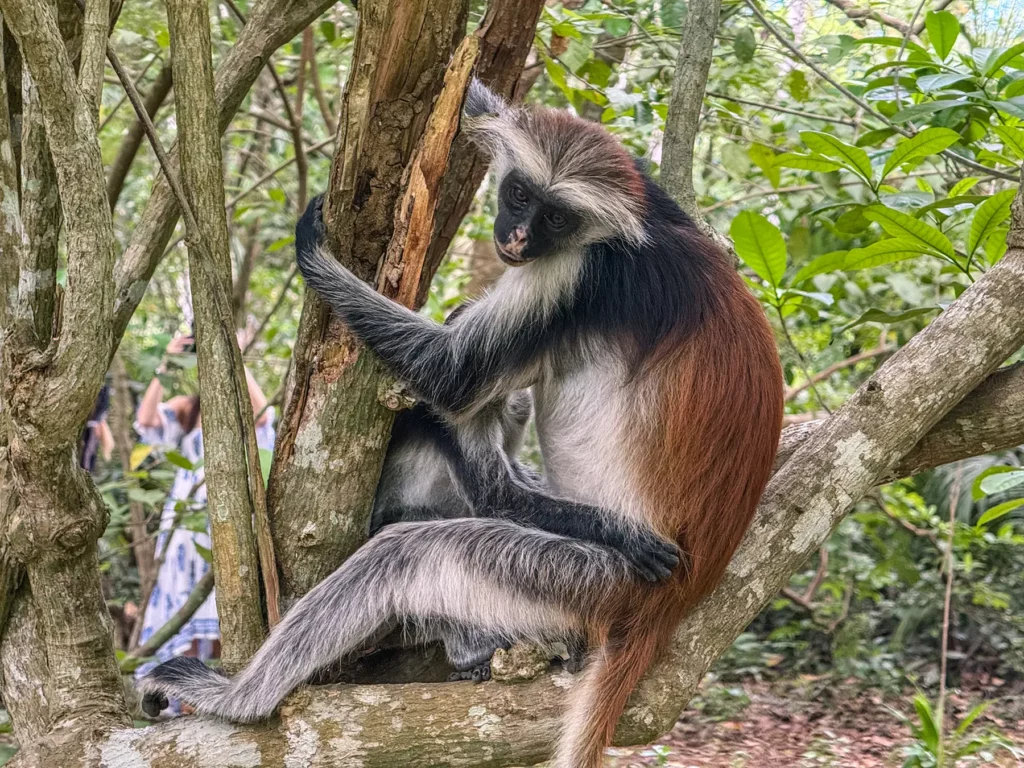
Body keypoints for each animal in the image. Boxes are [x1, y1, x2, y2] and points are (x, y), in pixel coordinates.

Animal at [141, 79, 783, 768]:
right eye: (520, 195)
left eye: (556, 218)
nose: (519, 237)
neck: (635, 238)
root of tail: (671, 601)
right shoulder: (647, 204)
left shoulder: (572, 273)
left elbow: (450, 377)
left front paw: (314, 251)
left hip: (585, 580)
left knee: (404, 555)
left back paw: (241, 700)